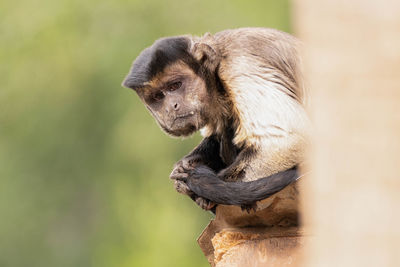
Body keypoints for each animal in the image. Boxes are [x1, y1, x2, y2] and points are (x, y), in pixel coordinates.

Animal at [122, 27, 310, 211]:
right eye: (157, 97)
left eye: (175, 85)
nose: (171, 106)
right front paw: (188, 166)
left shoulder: (238, 68)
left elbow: (288, 142)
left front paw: (194, 183)